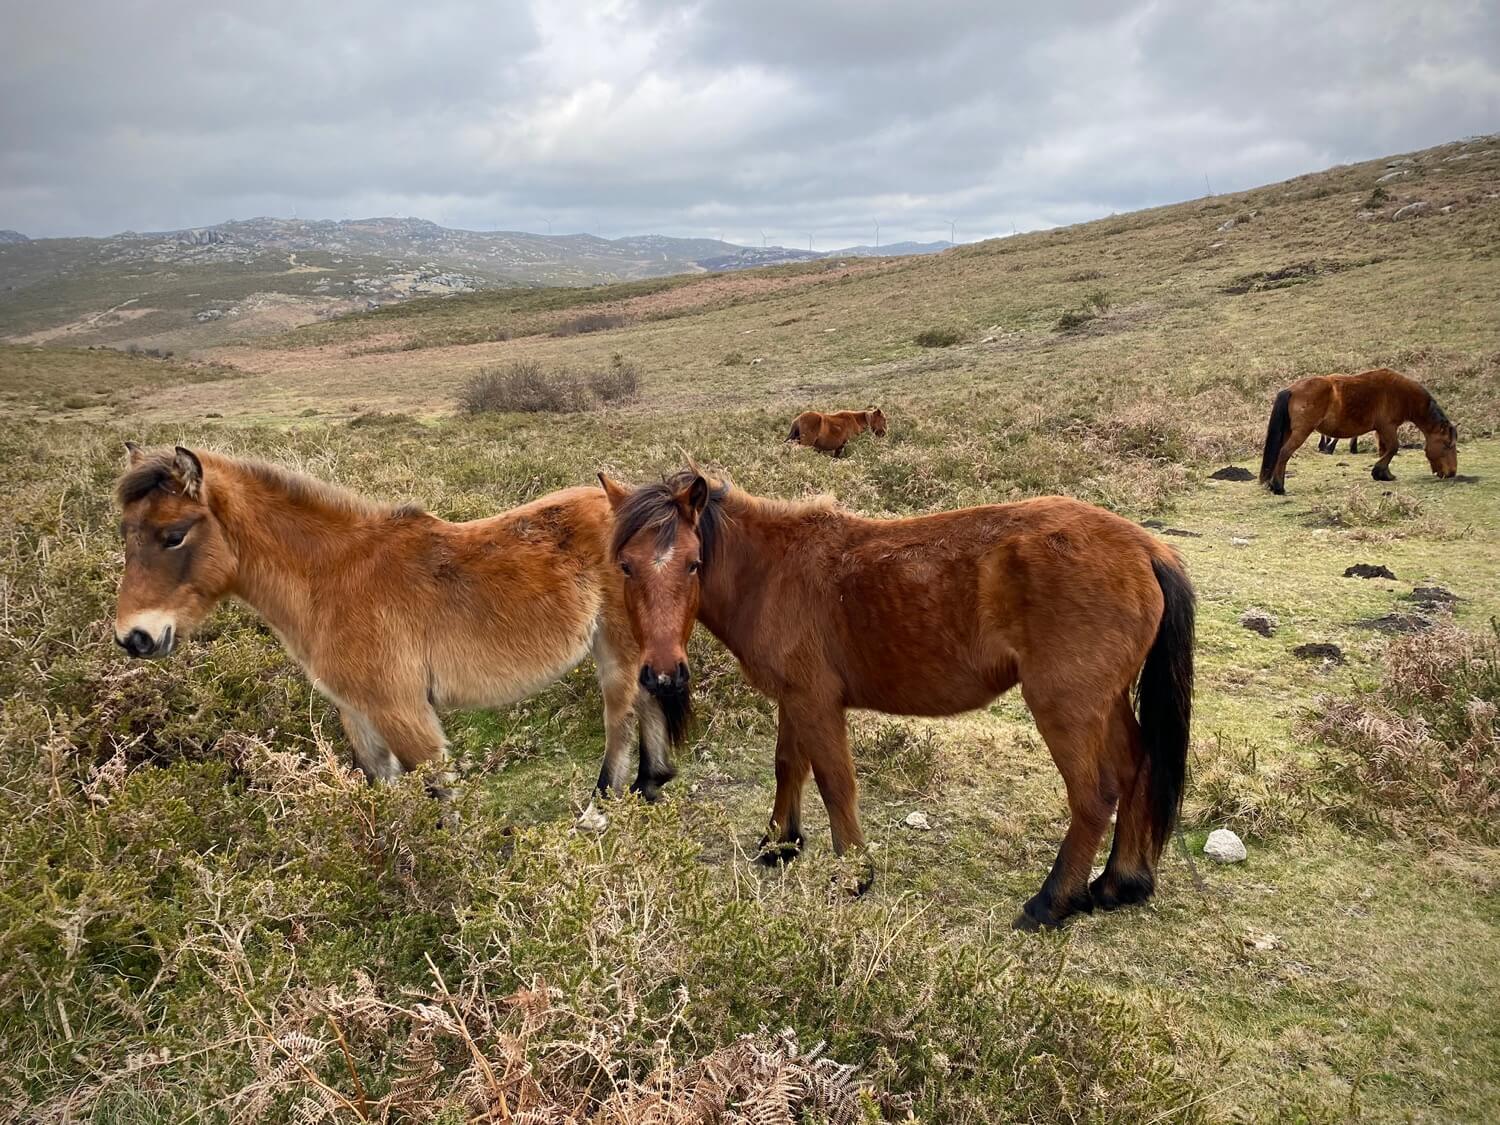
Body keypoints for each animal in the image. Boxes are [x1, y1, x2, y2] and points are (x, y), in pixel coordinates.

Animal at [114, 444, 684, 798]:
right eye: (124, 532)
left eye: (174, 535)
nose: (134, 638)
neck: (332, 578)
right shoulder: (358, 715)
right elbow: (386, 794)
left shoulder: (403, 713)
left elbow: (439, 798)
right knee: (648, 704)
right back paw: (650, 786)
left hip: (616, 649)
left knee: (621, 720)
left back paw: (602, 806)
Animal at [597, 468, 1194, 936]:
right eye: (625, 566)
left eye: (693, 563)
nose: (663, 676)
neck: (773, 573)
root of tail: (1147, 548)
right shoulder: (794, 699)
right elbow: (789, 765)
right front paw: (780, 845)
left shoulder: (816, 702)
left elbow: (835, 782)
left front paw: (852, 876)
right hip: (1106, 704)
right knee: (1137, 768)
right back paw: (1119, 883)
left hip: (1066, 708)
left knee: (1094, 797)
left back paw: (1051, 903)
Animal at [1260, 370, 1458, 492]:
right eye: (1447, 445)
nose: (1452, 473)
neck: (1401, 394)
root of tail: (1291, 389)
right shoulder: (1388, 427)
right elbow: (1393, 448)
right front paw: (1379, 471)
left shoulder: (1381, 430)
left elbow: (1384, 450)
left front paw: (1384, 474)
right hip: (1301, 432)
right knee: (1284, 453)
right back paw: (1278, 487)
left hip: (1288, 432)